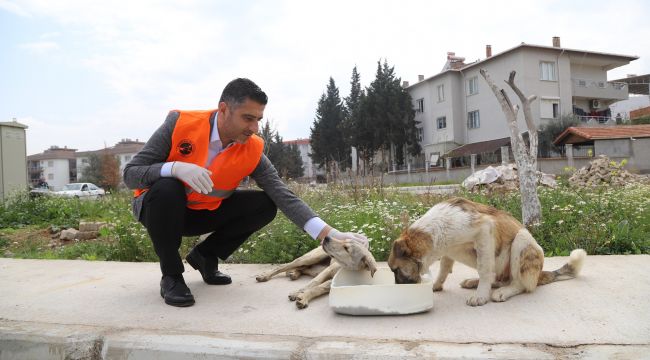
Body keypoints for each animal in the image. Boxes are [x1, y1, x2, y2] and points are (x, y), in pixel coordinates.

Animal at [388, 197, 584, 306]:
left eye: (395, 270)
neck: (438, 227)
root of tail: (541, 274)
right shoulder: (449, 251)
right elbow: (444, 268)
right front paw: (436, 284)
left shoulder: (483, 232)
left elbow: (484, 270)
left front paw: (481, 296)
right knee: (497, 278)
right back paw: (474, 282)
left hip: (522, 240)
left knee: (521, 284)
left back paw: (503, 291)